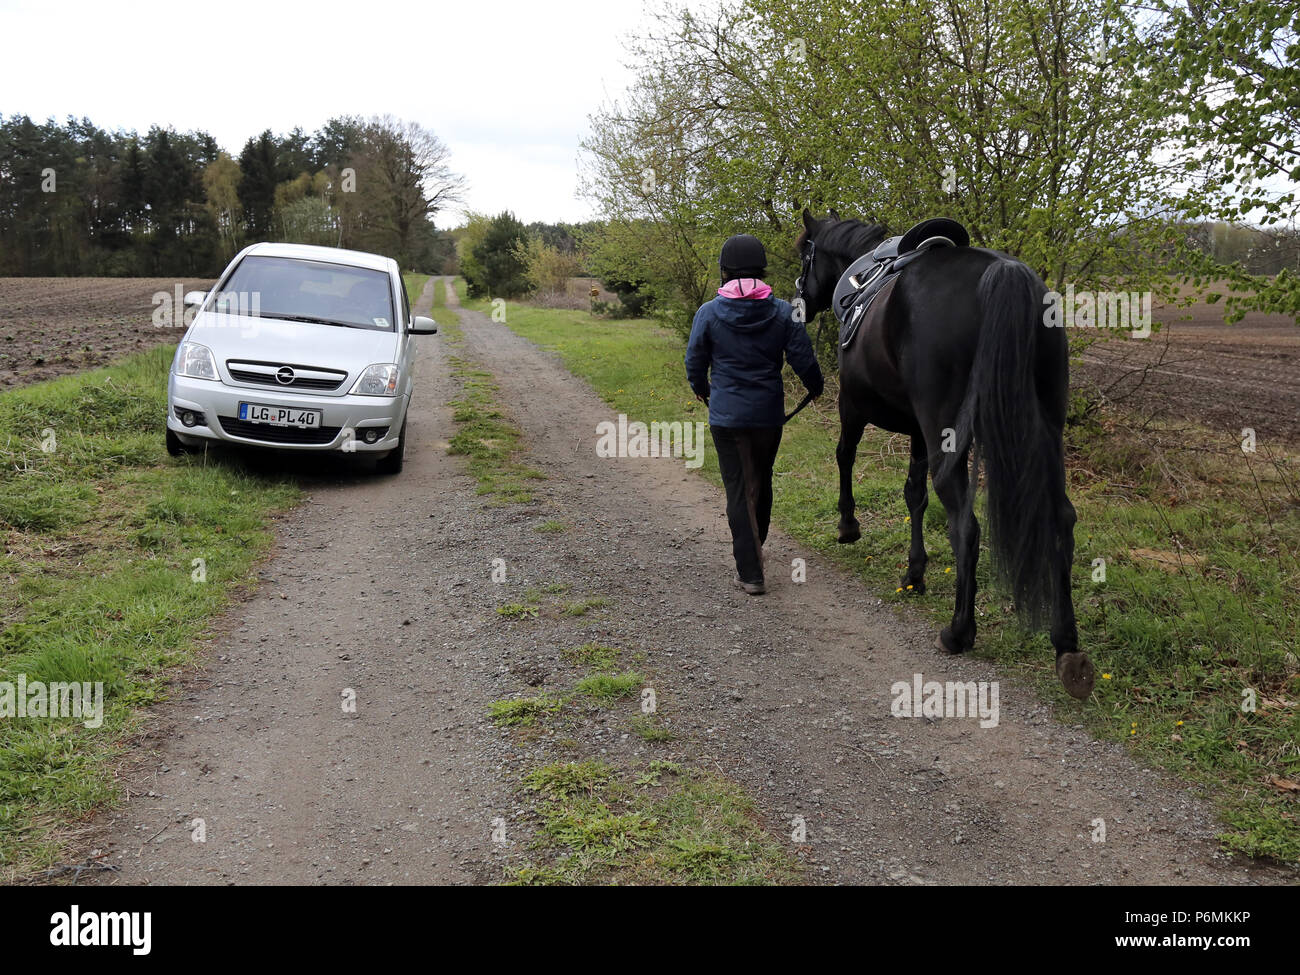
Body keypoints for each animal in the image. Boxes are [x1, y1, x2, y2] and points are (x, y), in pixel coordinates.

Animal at [795, 211, 1092, 702]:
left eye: (805, 252)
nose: (798, 300)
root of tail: (1005, 274)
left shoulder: (852, 405)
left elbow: (845, 457)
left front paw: (848, 525)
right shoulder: (918, 430)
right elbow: (913, 495)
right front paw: (914, 573)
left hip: (944, 431)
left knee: (966, 526)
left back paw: (958, 631)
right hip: (1045, 428)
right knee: (1061, 520)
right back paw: (1066, 644)